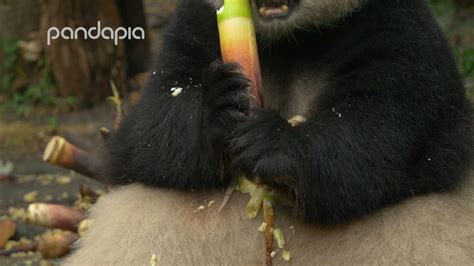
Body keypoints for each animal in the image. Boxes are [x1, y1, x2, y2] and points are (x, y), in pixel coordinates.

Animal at [65, 0, 472, 262]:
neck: (290, 37)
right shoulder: (195, 24)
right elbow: (146, 131)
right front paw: (219, 104)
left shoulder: (399, 32)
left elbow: (383, 132)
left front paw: (274, 142)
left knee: (421, 236)